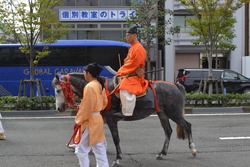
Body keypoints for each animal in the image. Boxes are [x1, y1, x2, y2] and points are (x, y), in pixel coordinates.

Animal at [52, 72, 197, 166]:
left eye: (58, 90)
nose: (59, 108)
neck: (100, 90)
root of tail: (175, 85)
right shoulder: (101, 119)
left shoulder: (112, 120)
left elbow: (116, 139)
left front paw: (117, 158)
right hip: (162, 114)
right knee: (168, 131)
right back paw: (161, 153)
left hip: (174, 113)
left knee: (187, 125)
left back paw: (193, 150)